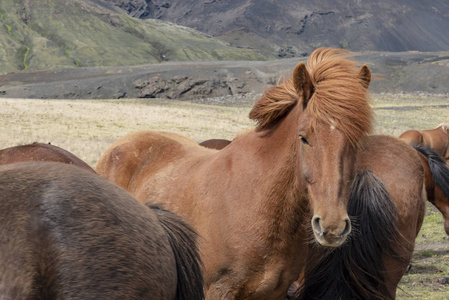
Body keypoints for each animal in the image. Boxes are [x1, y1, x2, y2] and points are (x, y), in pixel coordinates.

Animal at [96, 48, 372, 298]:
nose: (332, 226)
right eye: (304, 138)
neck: (259, 201)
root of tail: (115, 149)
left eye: (358, 141)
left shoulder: (274, 294)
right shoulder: (218, 291)